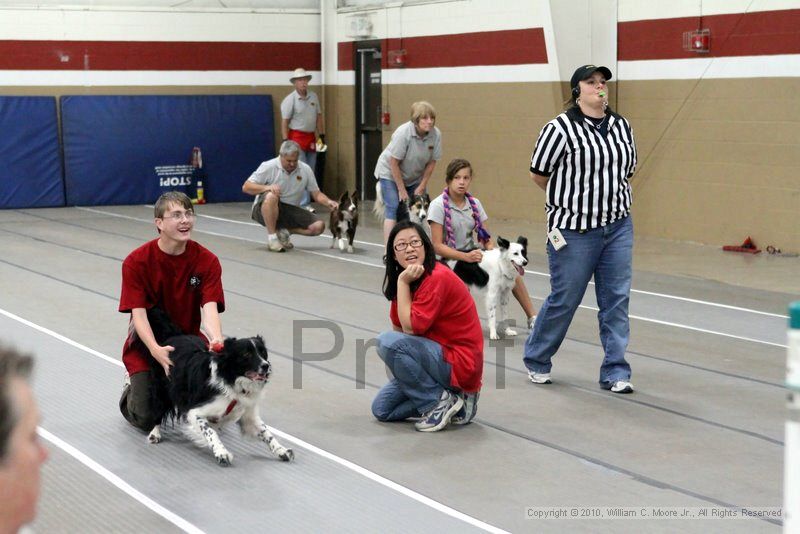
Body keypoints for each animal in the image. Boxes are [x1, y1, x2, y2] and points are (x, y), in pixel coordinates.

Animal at [145, 310, 294, 468]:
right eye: (246, 354)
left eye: (263, 352)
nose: (266, 366)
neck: (233, 381)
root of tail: (175, 336)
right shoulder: (195, 412)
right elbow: (210, 432)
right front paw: (222, 453)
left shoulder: (248, 414)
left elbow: (266, 432)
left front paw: (282, 450)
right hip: (162, 389)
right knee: (158, 411)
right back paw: (154, 434)